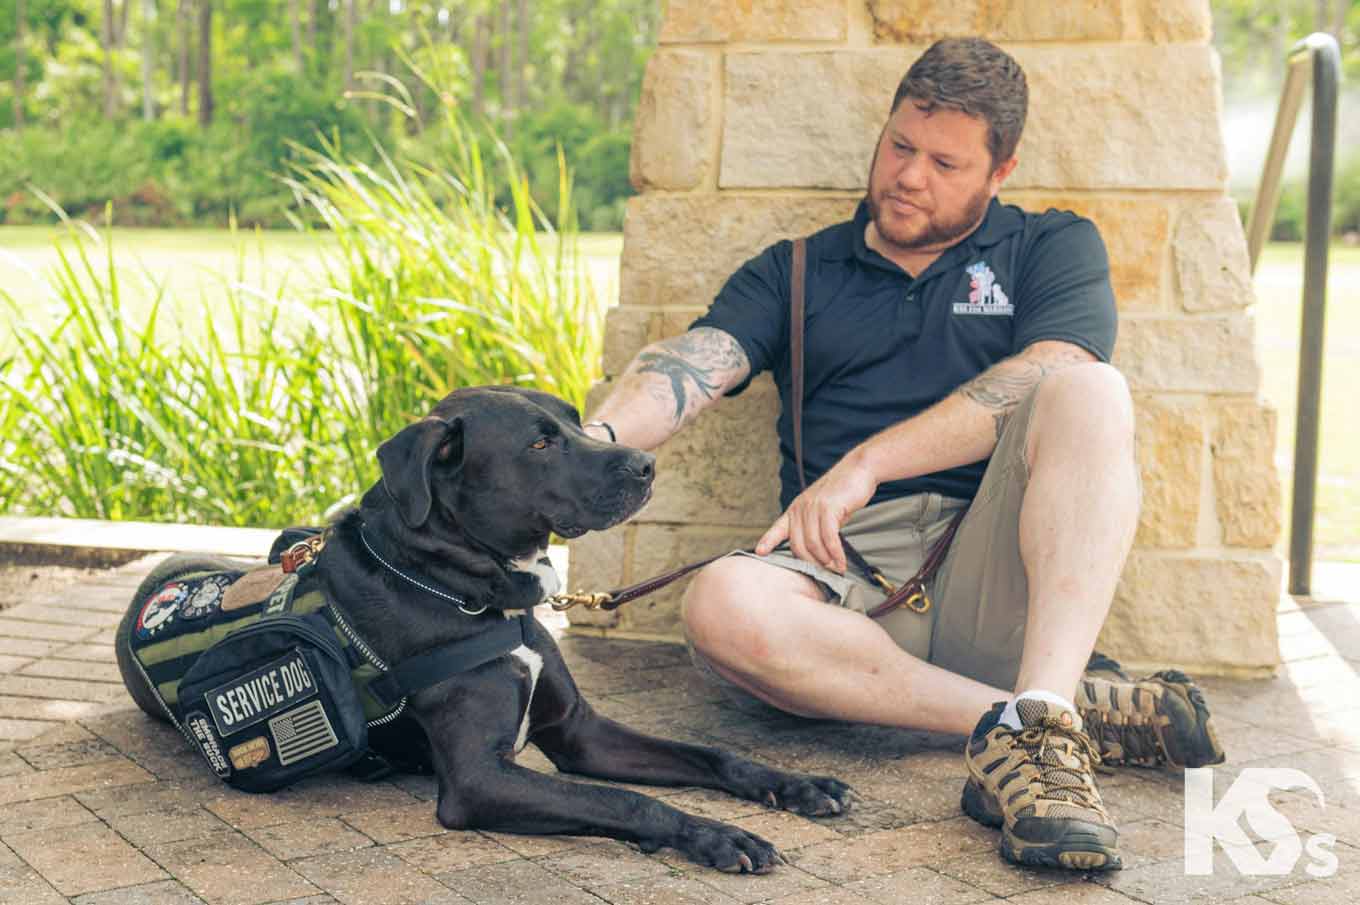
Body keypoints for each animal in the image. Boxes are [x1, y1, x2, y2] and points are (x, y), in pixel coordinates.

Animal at [122, 386, 843, 870]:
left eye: (577, 421)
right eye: (540, 442)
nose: (646, 465)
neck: (462, 588)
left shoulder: (580, 733)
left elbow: (711, 754)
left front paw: (795, 783)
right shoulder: (478, 779)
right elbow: (628, 802)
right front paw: (719, 835)